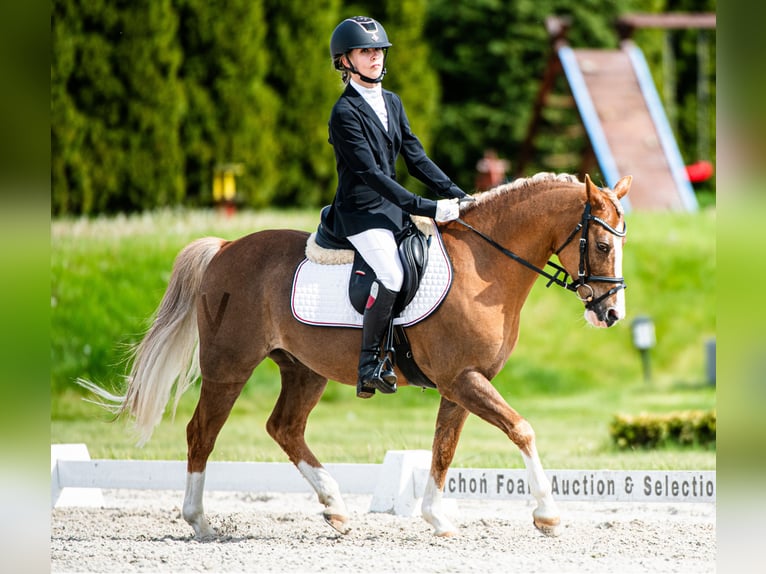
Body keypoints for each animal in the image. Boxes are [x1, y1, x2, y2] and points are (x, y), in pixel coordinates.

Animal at [81, 171, 631, 539]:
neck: (486, 264)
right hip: (228, 368)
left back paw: (335, 506)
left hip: (304, 371)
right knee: (202, 433)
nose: (611, 314)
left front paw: (437, 518)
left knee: (284, 428)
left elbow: (443, 448)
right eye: (603, 245)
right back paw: (200, 522)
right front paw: (547, 515)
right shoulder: (463, 379)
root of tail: (226, 247)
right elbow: (522, 429)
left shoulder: (461, 382)